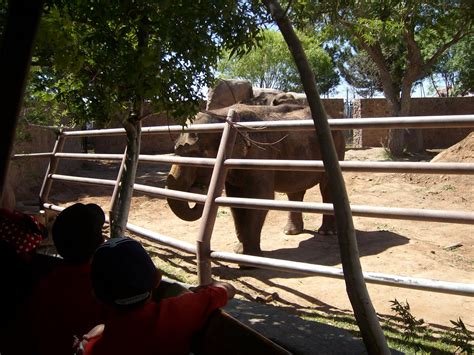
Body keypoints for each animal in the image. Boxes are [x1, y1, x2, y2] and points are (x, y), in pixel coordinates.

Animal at [167, 103, 344, 256]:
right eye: (175, 149)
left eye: (196, 153)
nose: (197, 187)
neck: (222, 114)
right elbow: (236, 202)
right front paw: (239, 252)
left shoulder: (260, 155)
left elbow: (260, 198)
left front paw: (248, 260)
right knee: (295, 192)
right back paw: (290, 232)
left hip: (336, 148)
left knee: (327, 188)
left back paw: (326, 232)